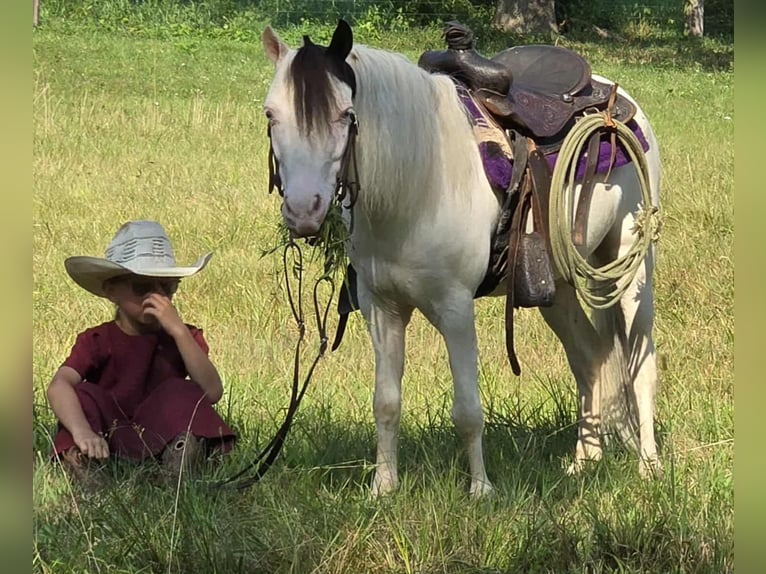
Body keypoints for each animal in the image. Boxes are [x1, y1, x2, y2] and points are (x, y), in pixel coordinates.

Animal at [261, 20, 662, 496]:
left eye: (345, 114)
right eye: (270, 114)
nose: (303, 211)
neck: (420, 184)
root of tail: (615, 99)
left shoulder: (455, 309)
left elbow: (468, 409)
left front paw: (481, 490)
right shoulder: (382, 308)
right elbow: (386, 402)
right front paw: (383, 487)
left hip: (631, 269)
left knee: (640, 362)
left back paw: (650, 465)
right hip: (558, 287)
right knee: (591, 359)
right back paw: (584, 461)